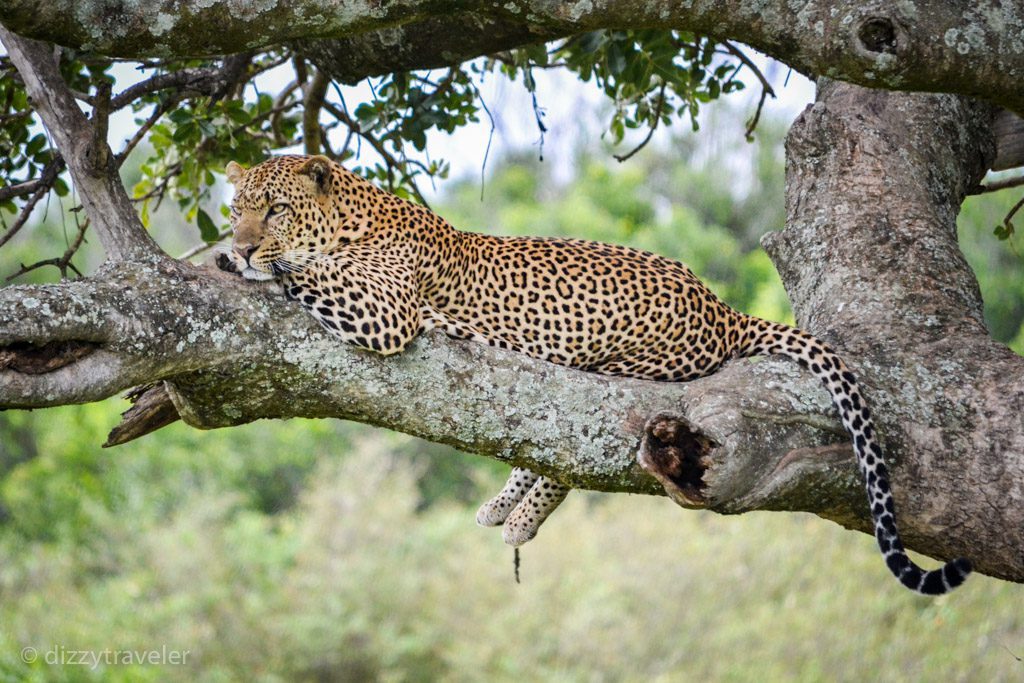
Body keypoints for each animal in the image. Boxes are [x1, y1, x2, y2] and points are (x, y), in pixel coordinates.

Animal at [220, 153, 970, 593]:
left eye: (275, 208)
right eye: (236, 207)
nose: (244, 241)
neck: (352, 215)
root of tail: (723, 310)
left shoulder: (385, 311)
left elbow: (309, 274)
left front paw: (241, 264)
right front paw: (232, 256)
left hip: (624, 367)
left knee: (576, 449)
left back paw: (519, 518)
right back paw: (503, 505)